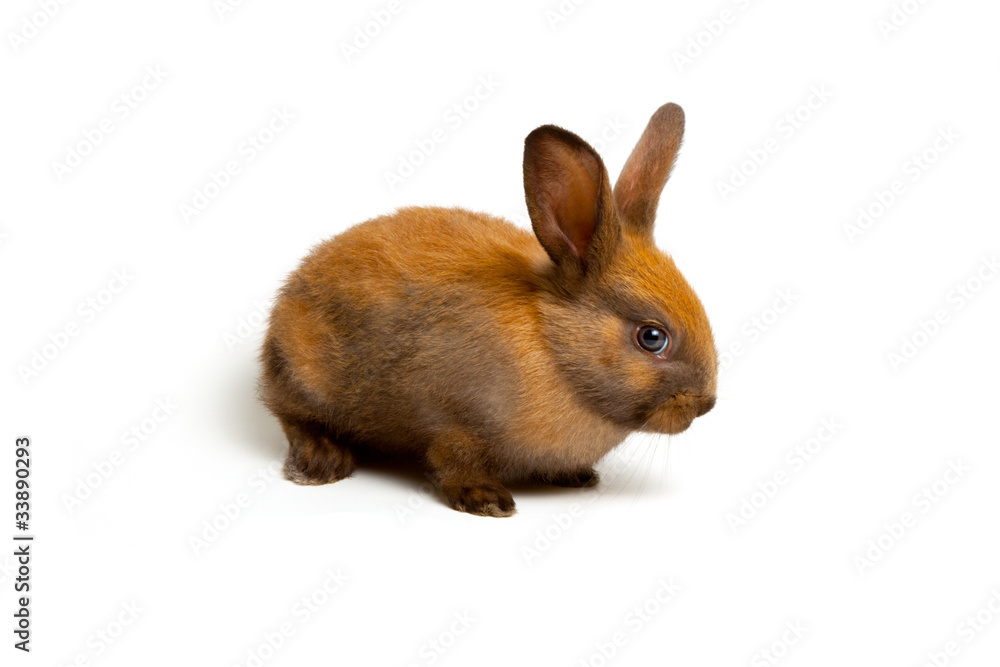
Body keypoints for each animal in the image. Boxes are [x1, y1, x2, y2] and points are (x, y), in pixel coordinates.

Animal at [259, 103, 717, 517]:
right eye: (652, 338)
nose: (706, 405)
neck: (554, 348)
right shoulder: (452, 419)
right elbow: (454, 460)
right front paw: (487, 500)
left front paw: (575, 475)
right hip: (302, 376)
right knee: (290, 416)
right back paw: (320, 462)